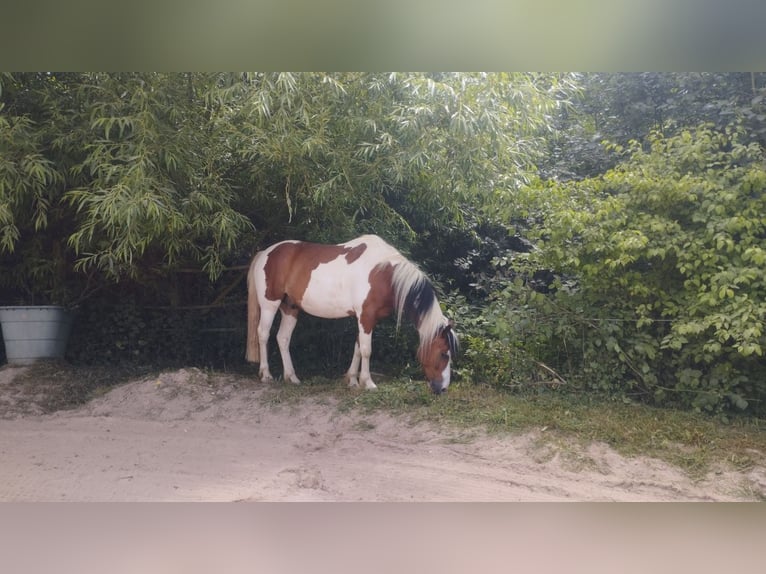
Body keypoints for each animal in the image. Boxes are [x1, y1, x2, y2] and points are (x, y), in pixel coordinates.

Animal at [245, 234, 458, 394]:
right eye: (443, 354)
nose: (442, 389)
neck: (385, 274)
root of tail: (265, 252)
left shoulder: (365, 319)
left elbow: (357, 348)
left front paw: (353, 381)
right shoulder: (366, 317)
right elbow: (366, 350)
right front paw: (368, 382)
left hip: (290, 308)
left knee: (283, 338)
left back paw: (292, 377)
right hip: (270, 305)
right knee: (263, 334)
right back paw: (266, 375)